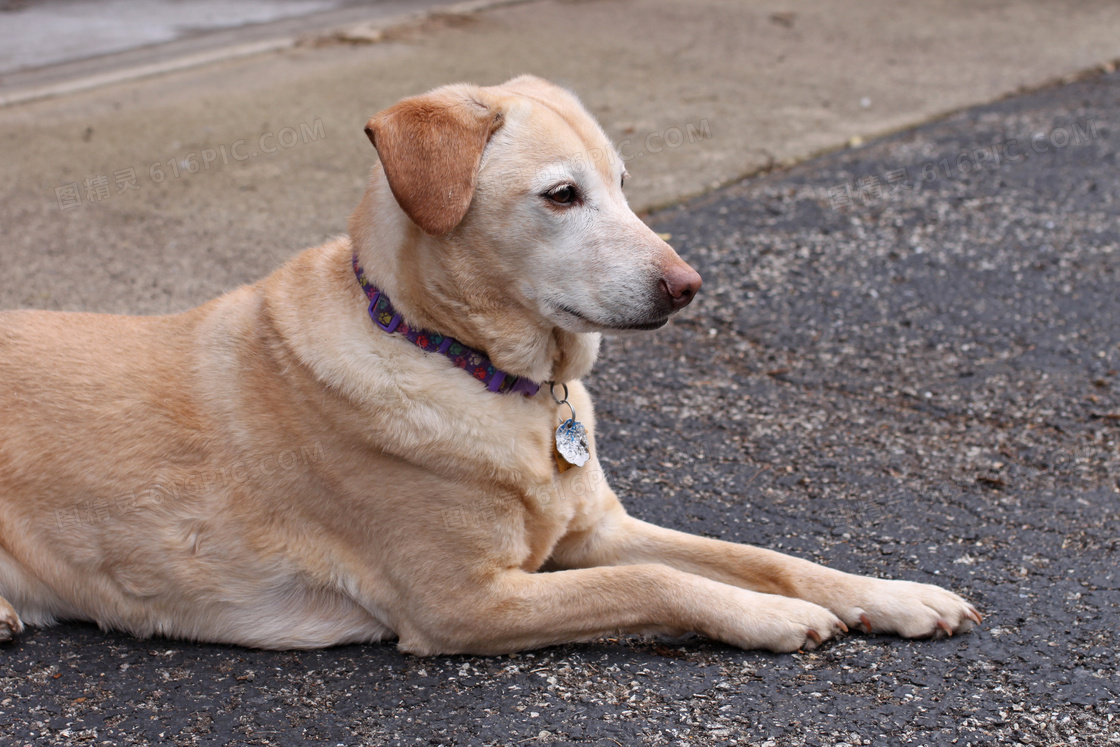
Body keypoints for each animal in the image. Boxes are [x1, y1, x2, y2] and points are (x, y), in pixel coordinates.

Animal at [0, 77, 976, 654]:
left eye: (623, 184)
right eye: (561, 195)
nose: (688, 285)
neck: (474, 366)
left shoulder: (595, 530)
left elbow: (764, 553)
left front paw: (889, 593)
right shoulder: (464, 602)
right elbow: (656, 579)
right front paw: (773, 618)